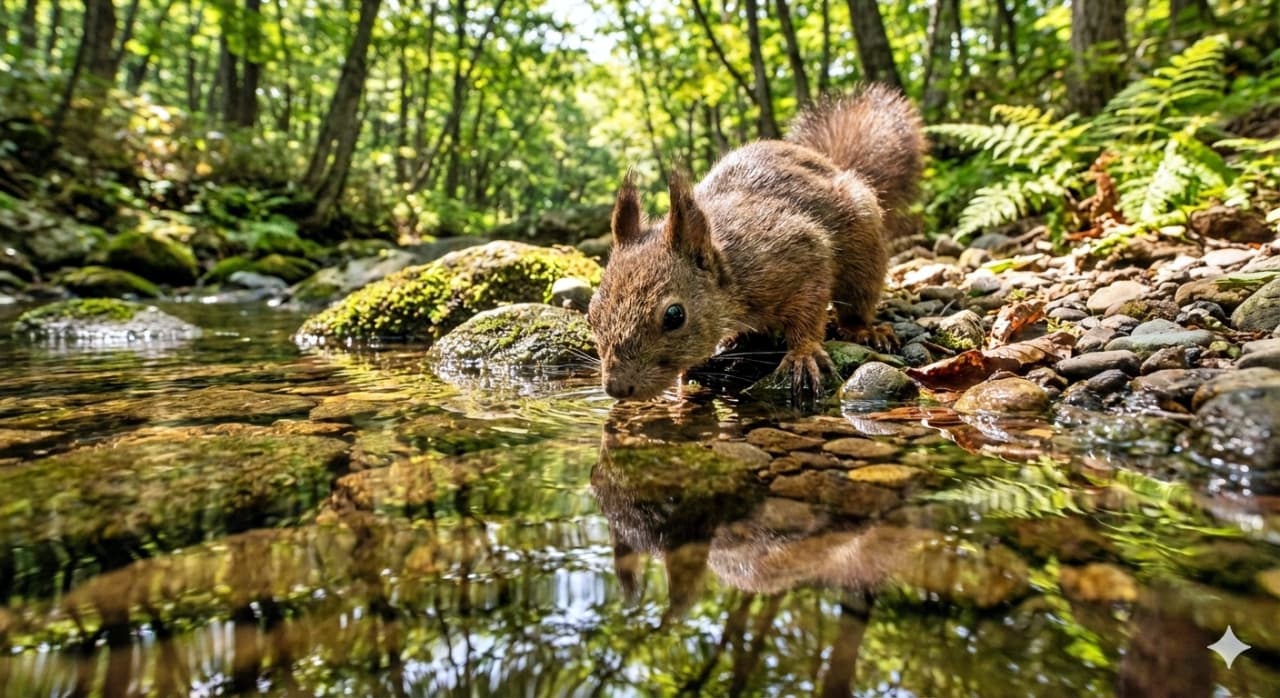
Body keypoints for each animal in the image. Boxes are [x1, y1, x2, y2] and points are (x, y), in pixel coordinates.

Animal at [587, 84, 925, 401]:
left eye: (674, 316)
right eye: (592, 313)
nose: (617, 388)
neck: (731, 267)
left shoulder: (800, 251)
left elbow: (809, 311)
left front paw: (802, 353)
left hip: (863, 251)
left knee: (857, 300)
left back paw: (865, 329)